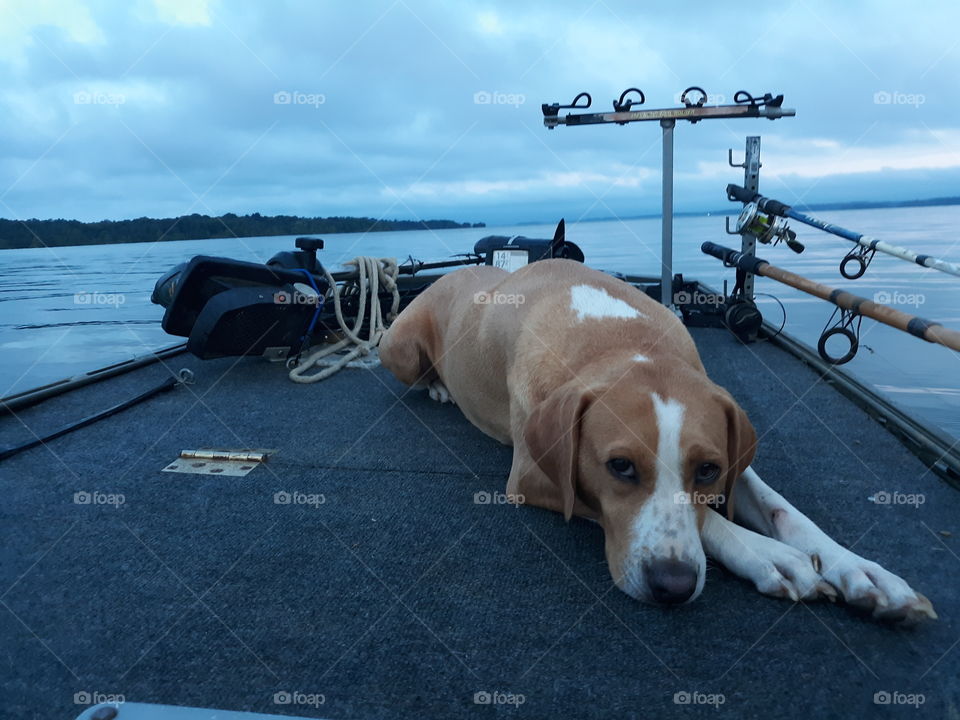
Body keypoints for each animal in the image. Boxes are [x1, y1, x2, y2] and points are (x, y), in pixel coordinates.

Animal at [378, 258, 932, 624]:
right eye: (620, 467)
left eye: (707, 469)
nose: (672, 586)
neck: (622, 343)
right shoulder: (534, 477)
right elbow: (707, 521)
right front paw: (767, 555)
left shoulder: (731, 455)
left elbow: (782, 510)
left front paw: (859, 570)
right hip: (398, 347)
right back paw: (437, 386)